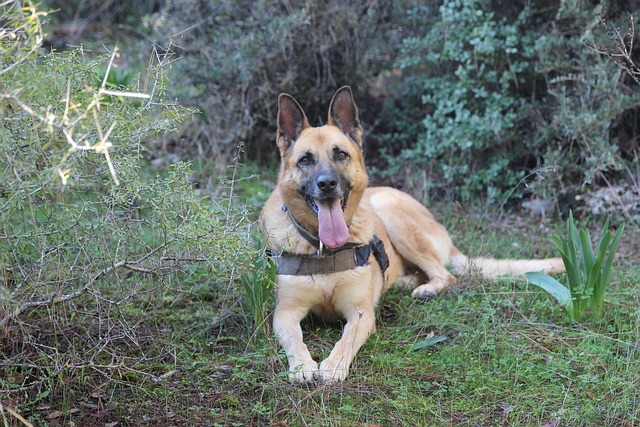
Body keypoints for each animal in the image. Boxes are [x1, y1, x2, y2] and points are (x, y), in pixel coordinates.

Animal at [260, 87, 564, 384]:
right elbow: (294, 338)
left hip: (393, 216)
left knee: (445, 274)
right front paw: (302, 365)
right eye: (305, 160)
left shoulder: (360, 312)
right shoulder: (285, 312)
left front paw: (334, 365)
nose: (327, 184)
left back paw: (425, 288)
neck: (323, 247)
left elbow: (346, 339)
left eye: (341, 155)